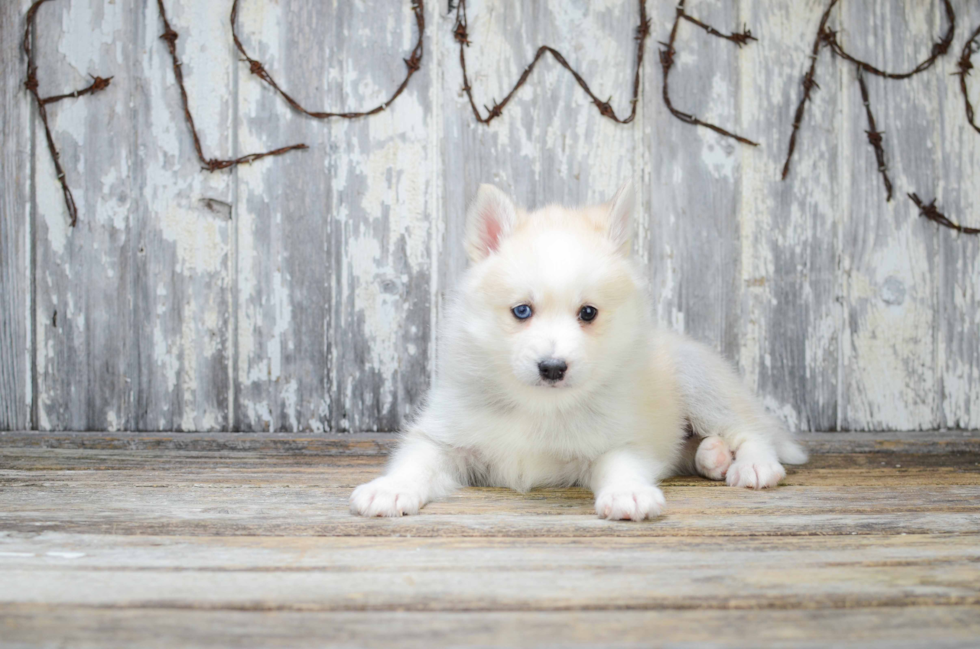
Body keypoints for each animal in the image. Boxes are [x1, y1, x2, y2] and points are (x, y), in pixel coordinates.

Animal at [348, 182, 808, 520]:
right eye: (522, 310)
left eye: (588, 312)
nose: (553, 367)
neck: (537, 408)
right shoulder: (442, 437)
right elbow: (417, 461)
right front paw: (391, 489)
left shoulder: (619, 439)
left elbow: (622, 464)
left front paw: (628, 493)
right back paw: (712, 456)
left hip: (699, 382)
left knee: (750, 428)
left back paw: (751, 464)